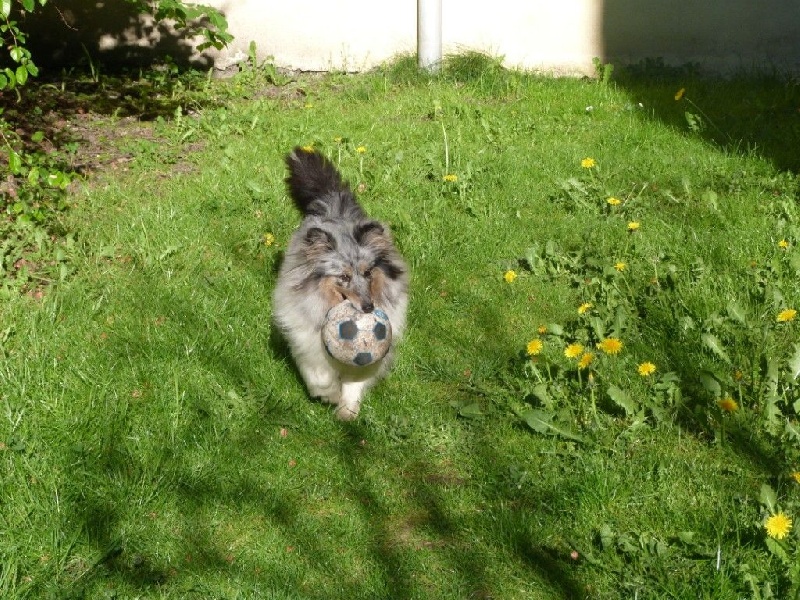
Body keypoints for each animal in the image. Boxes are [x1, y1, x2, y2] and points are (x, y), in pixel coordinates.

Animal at [276, 148, 412, 420]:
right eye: (344, 277)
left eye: (368, 272)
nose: (369, 307)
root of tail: (333, 203)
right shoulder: (306, 341)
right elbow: (319, 376)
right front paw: (329, 396)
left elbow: (355, 382)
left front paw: (347, 411)